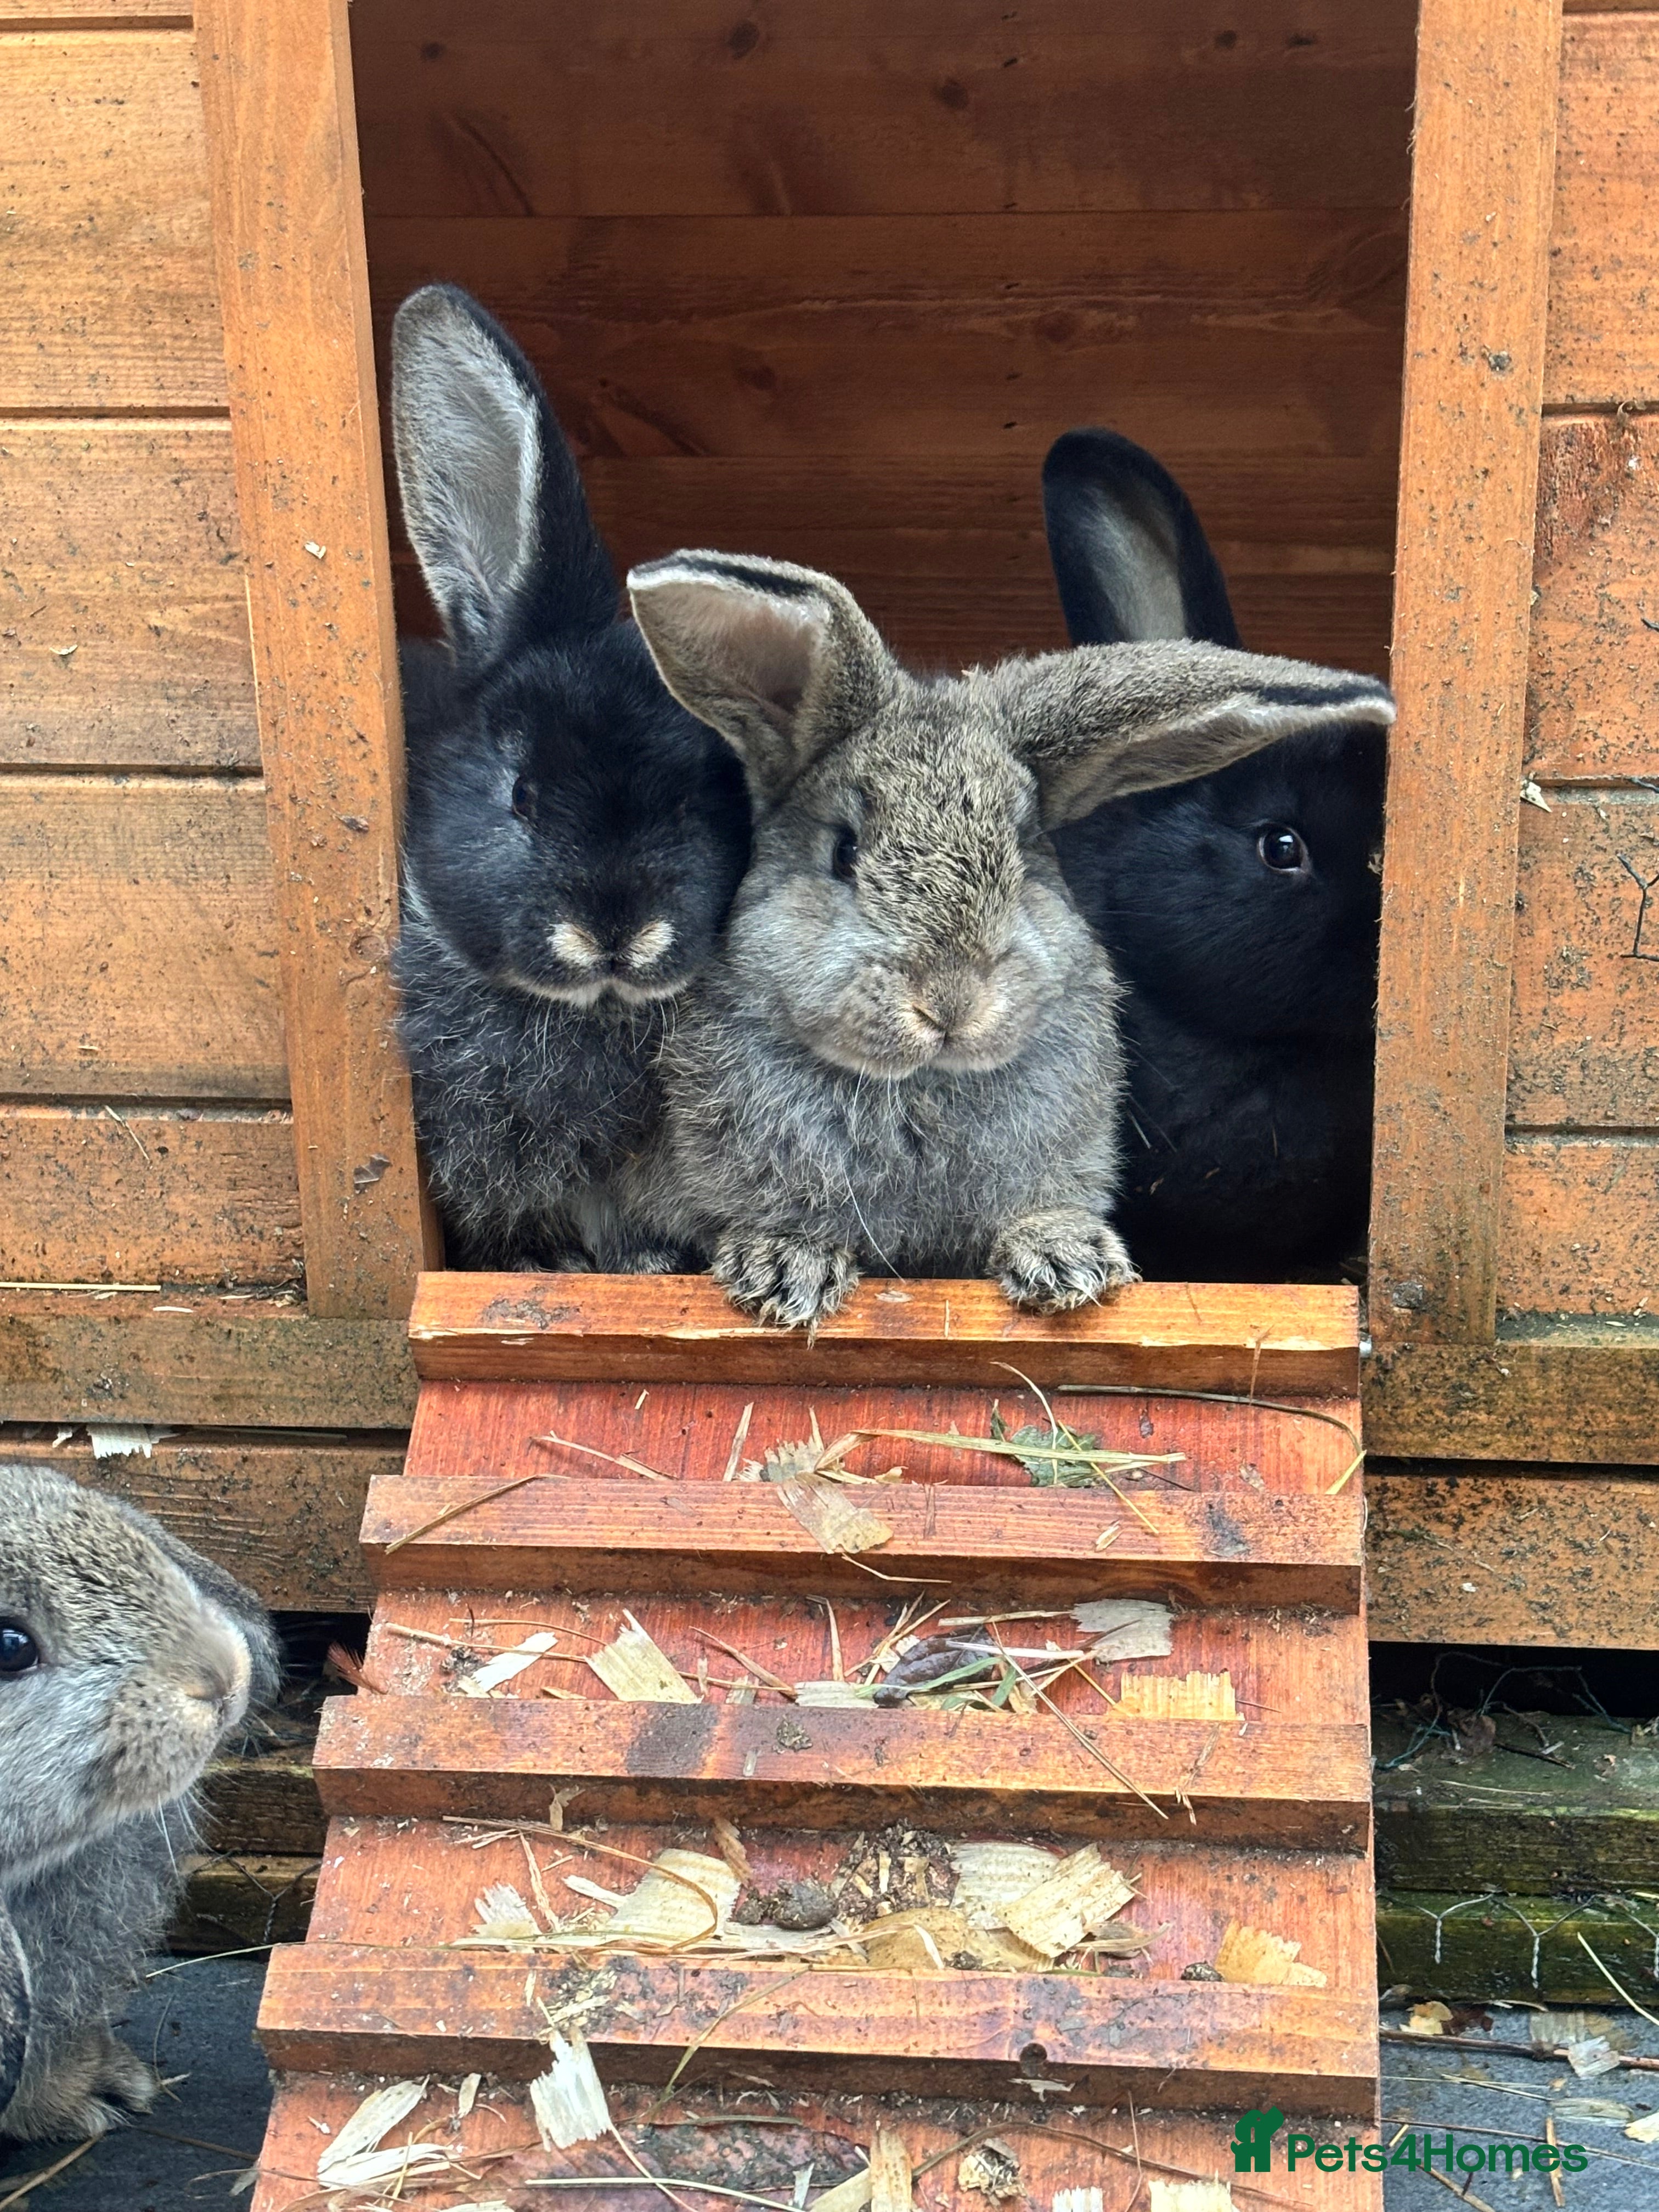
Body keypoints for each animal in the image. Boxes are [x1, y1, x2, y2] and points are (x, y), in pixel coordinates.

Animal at [623, 550, 1394, 1329]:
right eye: (845, 853)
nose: (952, 1001)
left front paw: (1067, 1260)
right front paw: (786, 1267)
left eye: (1023, 854)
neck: (925, 1083)